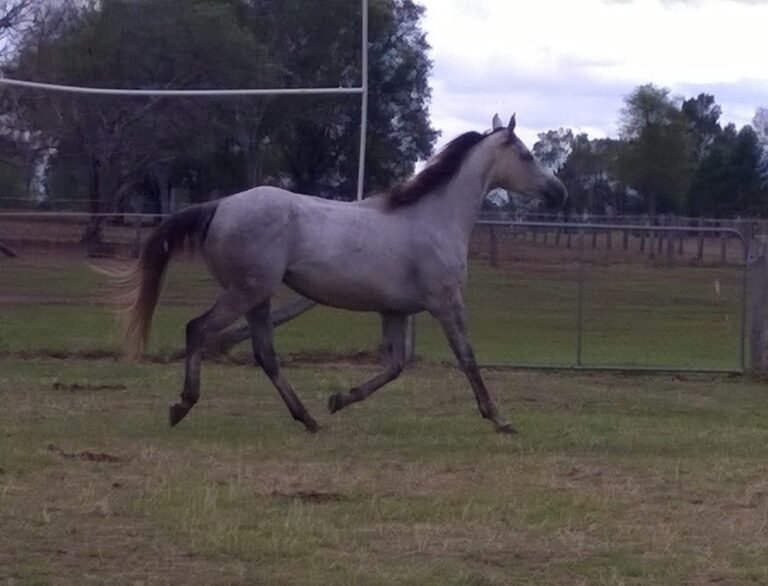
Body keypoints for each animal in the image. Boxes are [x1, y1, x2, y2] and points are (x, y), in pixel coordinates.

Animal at [115, 114, 566, 434]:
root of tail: (219, 206)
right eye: (526, 155)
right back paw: (182, 406)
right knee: (198, 329)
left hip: (258, 297)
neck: (433, 218)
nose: (559, 191)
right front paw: (500, 418)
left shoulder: (395, 312)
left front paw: (338, 399)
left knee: (265, 355)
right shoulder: (446, 303)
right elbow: (467, 358)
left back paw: (309, 419)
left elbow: (395, 366)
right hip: (244, 292)